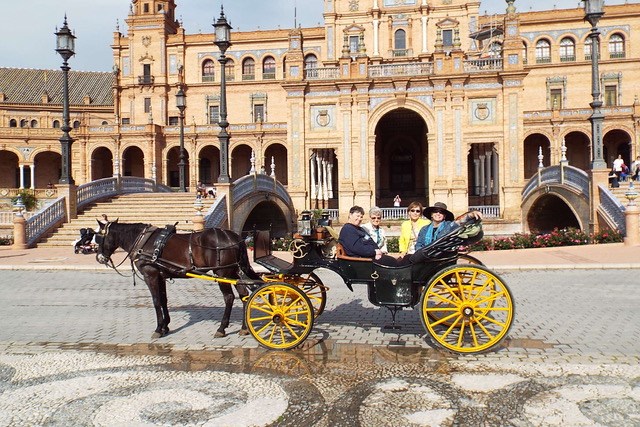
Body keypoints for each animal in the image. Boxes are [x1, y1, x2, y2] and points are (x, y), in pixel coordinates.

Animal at [95, 219, 260, 340]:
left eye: (98, 238)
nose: (99, 258)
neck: (143, 241)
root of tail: (235, 237)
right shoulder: (160, 276)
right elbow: (163, 300)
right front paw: (165, 326)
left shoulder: (151, 275)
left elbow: (156, 301)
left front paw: (158, 328)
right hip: (233, 271)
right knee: (244, 294)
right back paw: (244, 328)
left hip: (222, 272)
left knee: (229, 297)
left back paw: (221, 328)